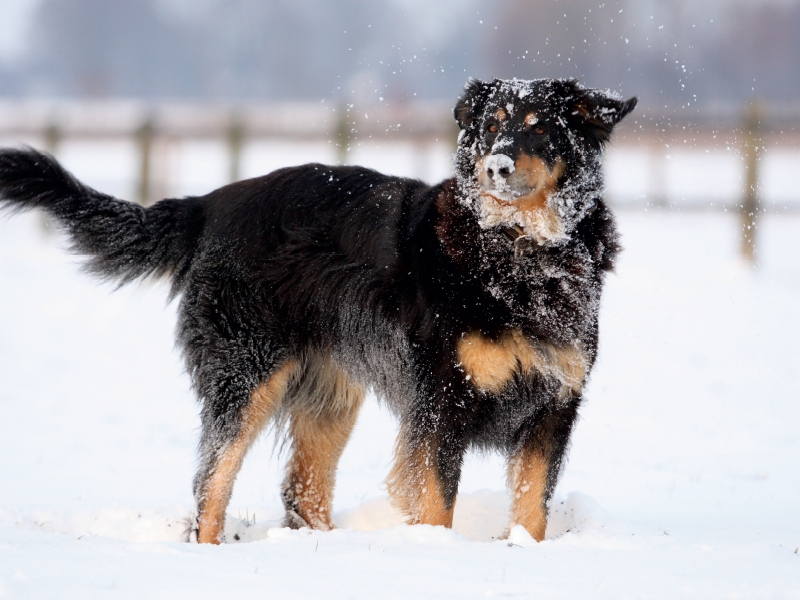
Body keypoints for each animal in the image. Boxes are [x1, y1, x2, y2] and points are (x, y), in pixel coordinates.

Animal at [0, 76, 636, 544]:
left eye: (540, 129)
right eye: (491, 126)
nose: (495, 167)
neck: (519, 251)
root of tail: (211, 204)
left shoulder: (556, 404)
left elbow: (532, 508)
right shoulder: (441, 400)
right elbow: (436, 500)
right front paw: (435, 555)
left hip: (329, 392)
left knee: (301, 490)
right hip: (245, 373)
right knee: (211, 481)